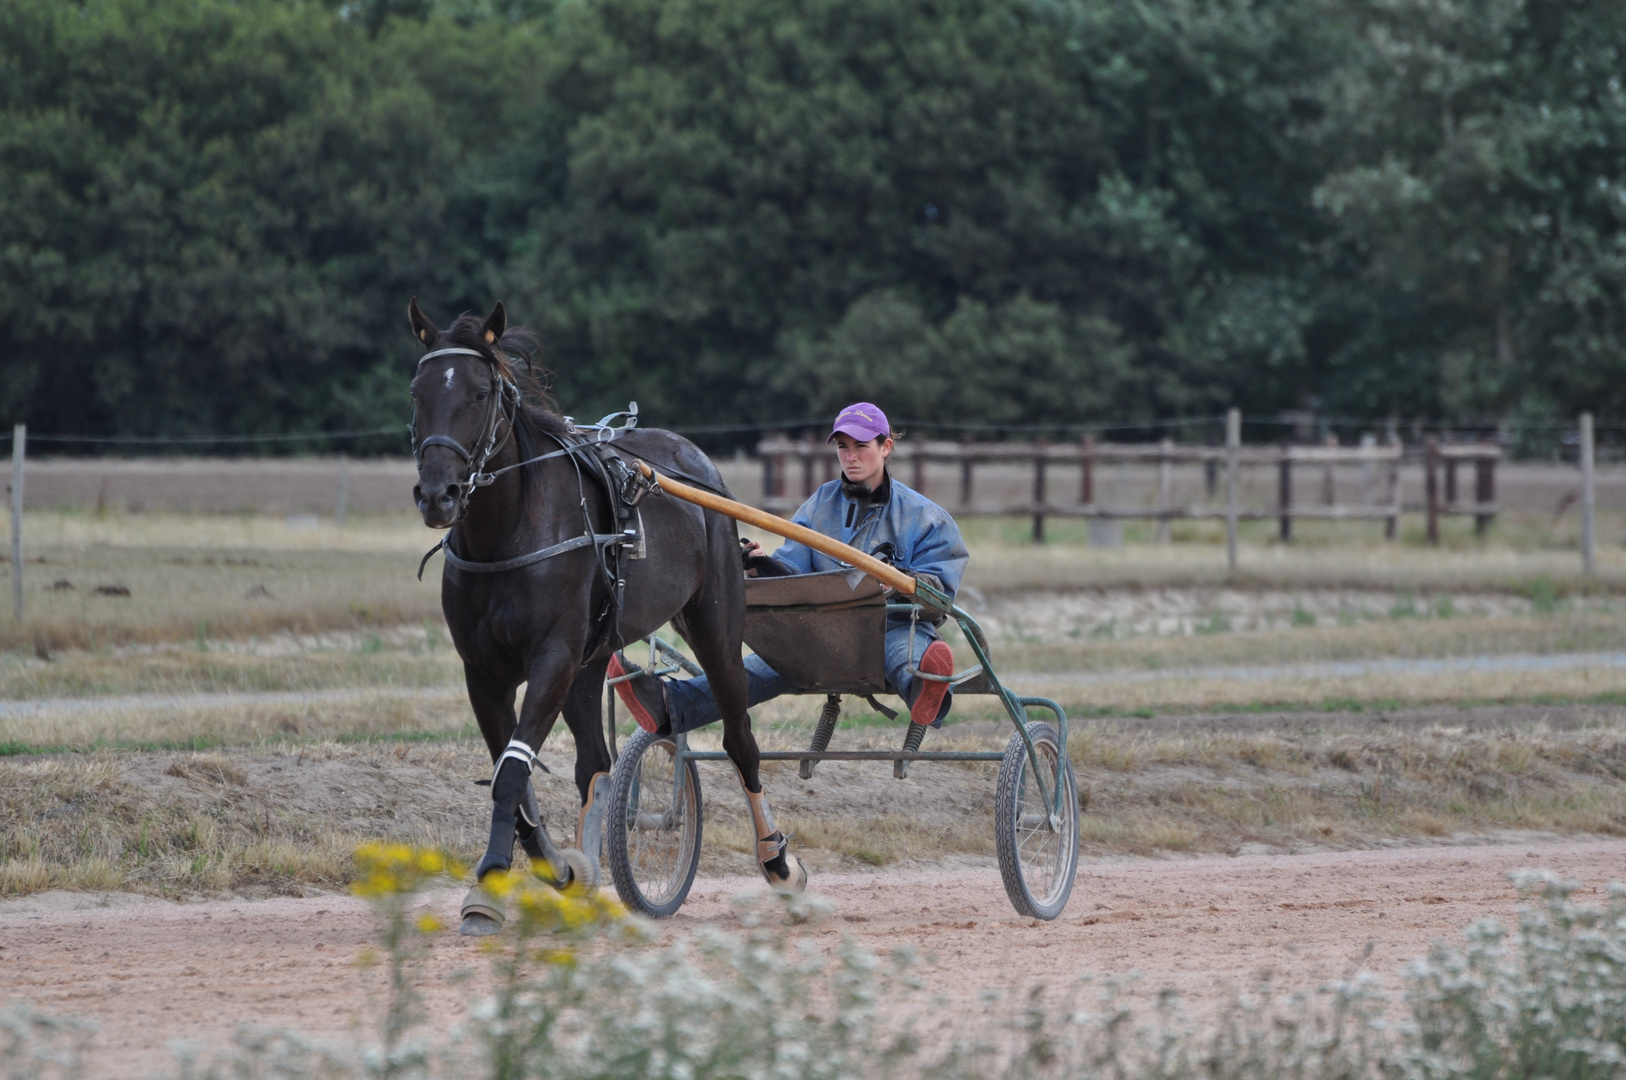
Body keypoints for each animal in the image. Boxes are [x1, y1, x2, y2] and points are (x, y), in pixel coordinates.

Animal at [409, 299, 809, 930]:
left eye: (479, 392)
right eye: (417, 391)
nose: (437, 494)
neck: (508, 532)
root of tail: (694, 460)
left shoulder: (552, 656)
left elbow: (513, 771)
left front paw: (488, 884)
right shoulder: (485, 670)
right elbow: (511, 773)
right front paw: (557, 867)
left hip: (714, 622)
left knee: (741, 739)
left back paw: (778, 863)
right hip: (593, 657)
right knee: (594, 762)